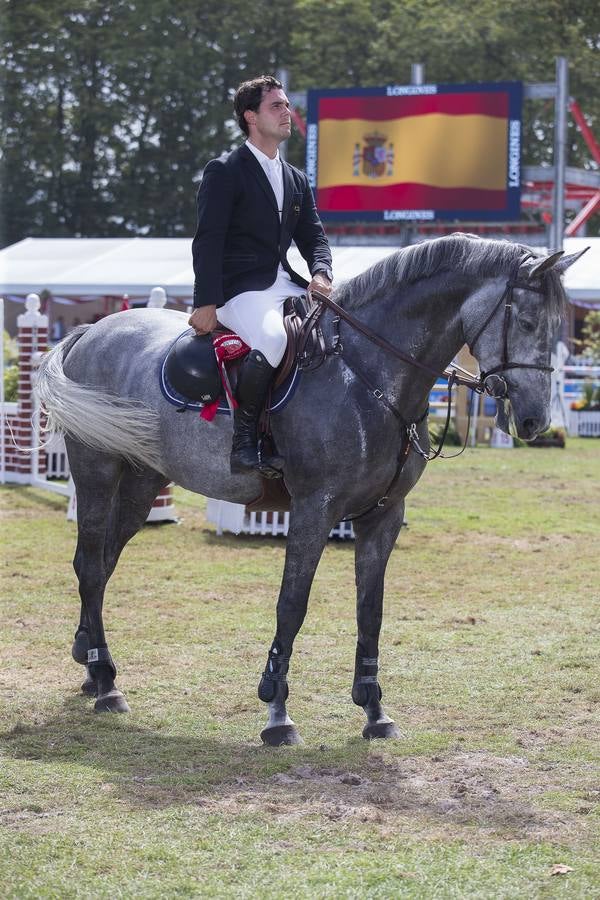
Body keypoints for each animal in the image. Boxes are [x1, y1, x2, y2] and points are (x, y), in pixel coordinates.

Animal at [35, 234, 584, 744]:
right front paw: (277, 712)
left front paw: (374, 710)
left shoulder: (383, 516)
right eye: (528, 322)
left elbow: (370, 610)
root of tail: (91, 333)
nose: (534, 422)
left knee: (102, 562)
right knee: (90, 564)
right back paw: (106, 682)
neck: (367, 375)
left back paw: (91, 665)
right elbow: (292, 604)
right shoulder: (314, 509)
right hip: (98, 469)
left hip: (144, 479)